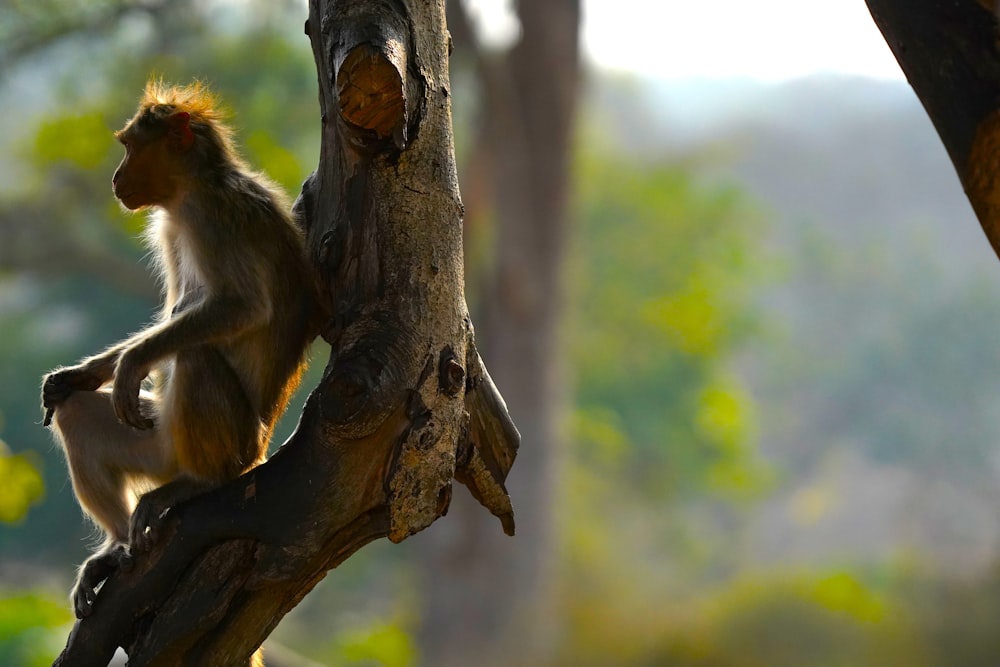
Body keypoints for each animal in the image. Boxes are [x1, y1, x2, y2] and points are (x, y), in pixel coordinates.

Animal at [42, 79, 316, 628]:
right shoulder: (170, 228)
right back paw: (115, 549)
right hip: (158, 445)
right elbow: (169, 315)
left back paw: (199, 481)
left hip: (233, 446)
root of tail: (259, 448)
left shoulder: (214, 217)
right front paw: (83, 373)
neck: (192, 190)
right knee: (79, 416)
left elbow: (243, 307)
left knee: (195, 357)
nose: (115, 178)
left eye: (130, 147)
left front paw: (129, 364)